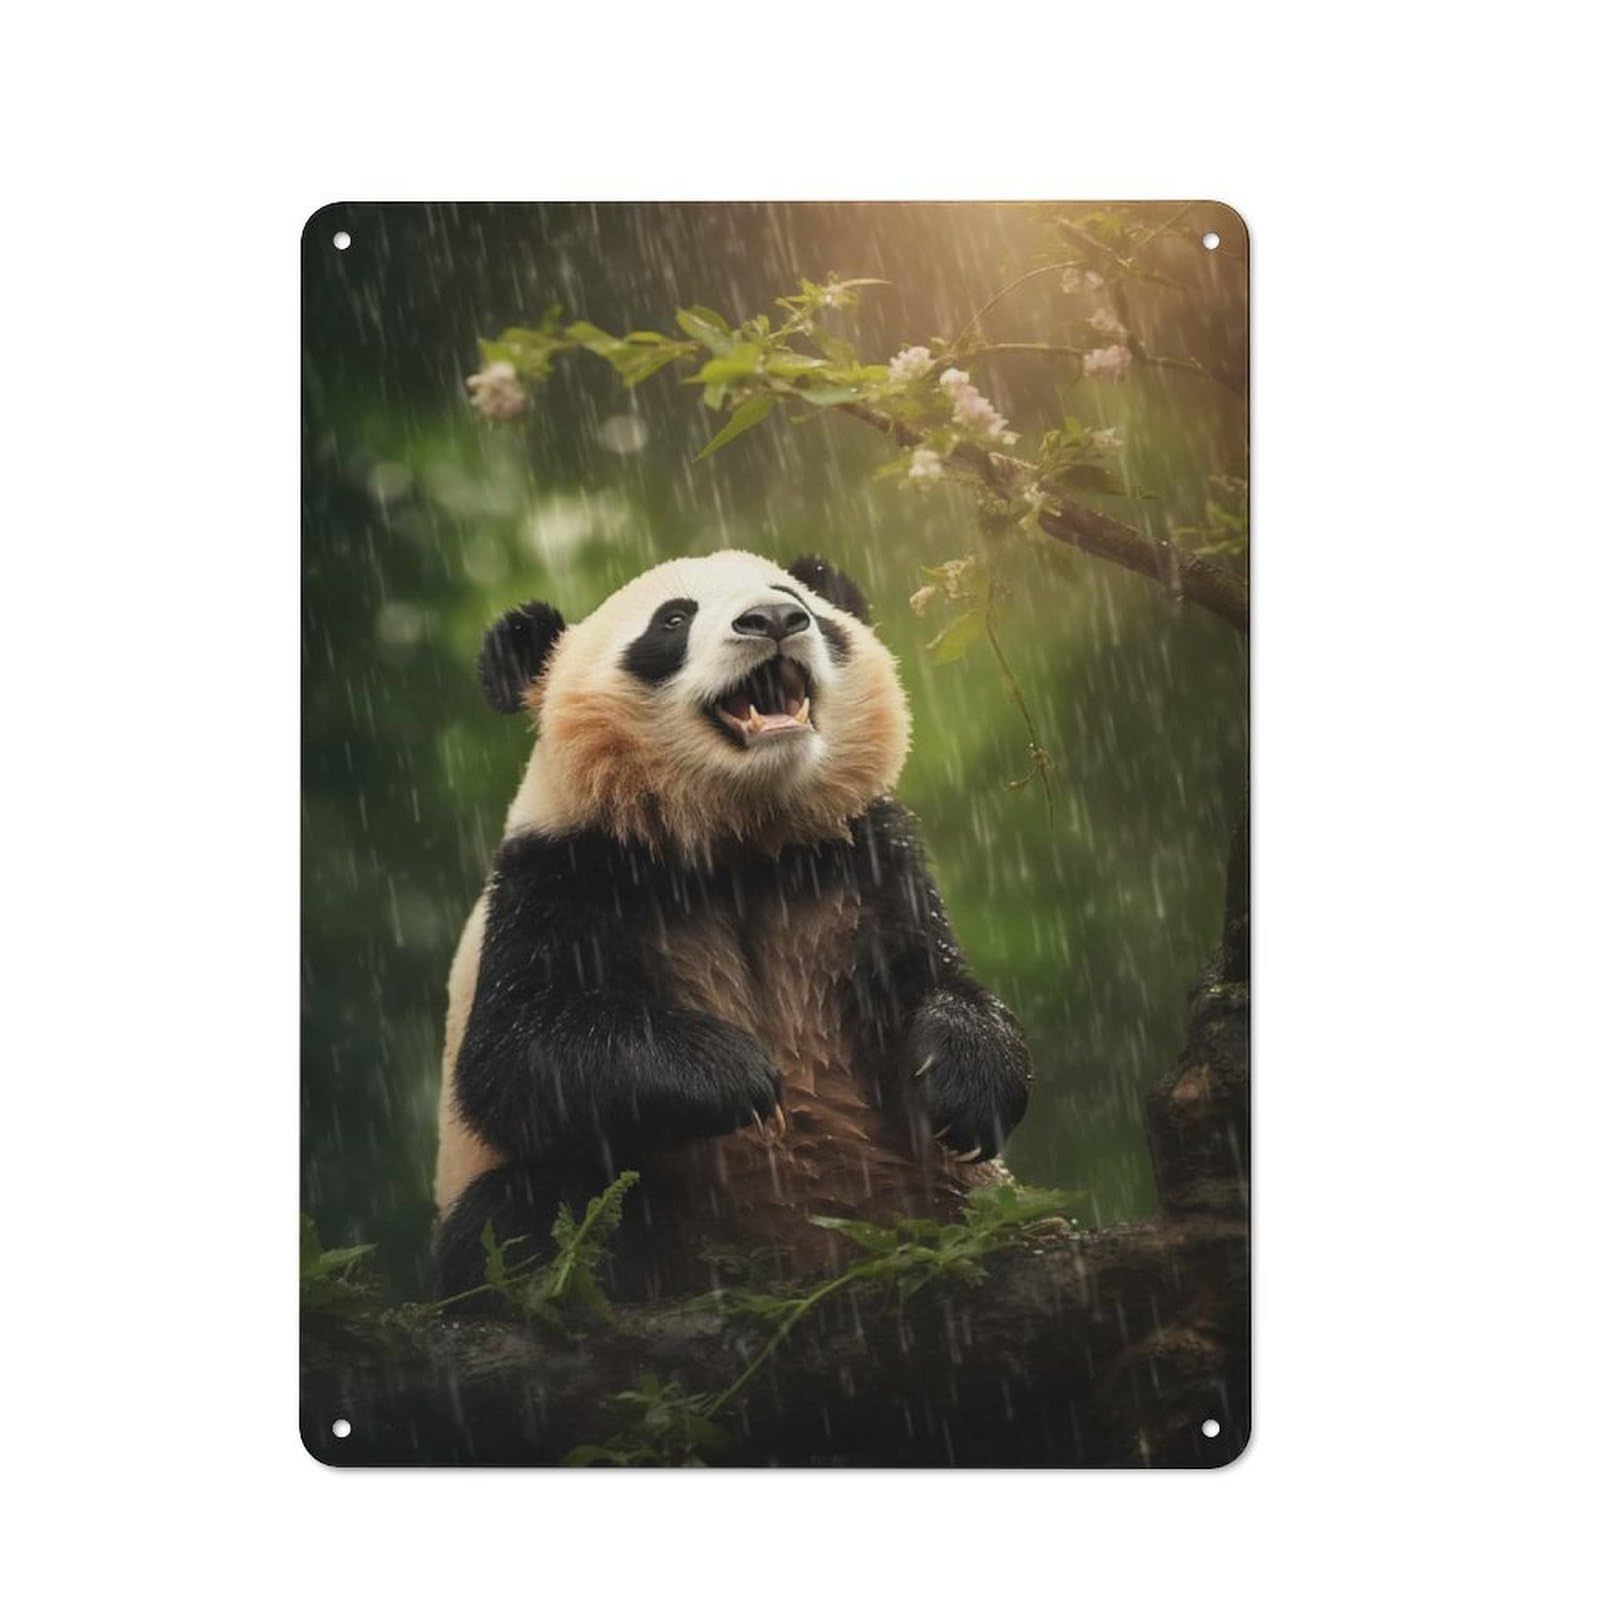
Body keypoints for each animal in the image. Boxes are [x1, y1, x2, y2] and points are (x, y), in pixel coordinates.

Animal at [432, 549, 1032, 1299]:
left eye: (791, 598)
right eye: (673, 619)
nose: (774, 619)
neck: (741, 839)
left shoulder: (868, 857)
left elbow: (935, 976)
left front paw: (964, 1081)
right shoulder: (560, 871)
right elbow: (514, 1052)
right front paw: (739, 1076)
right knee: (521, 1212)